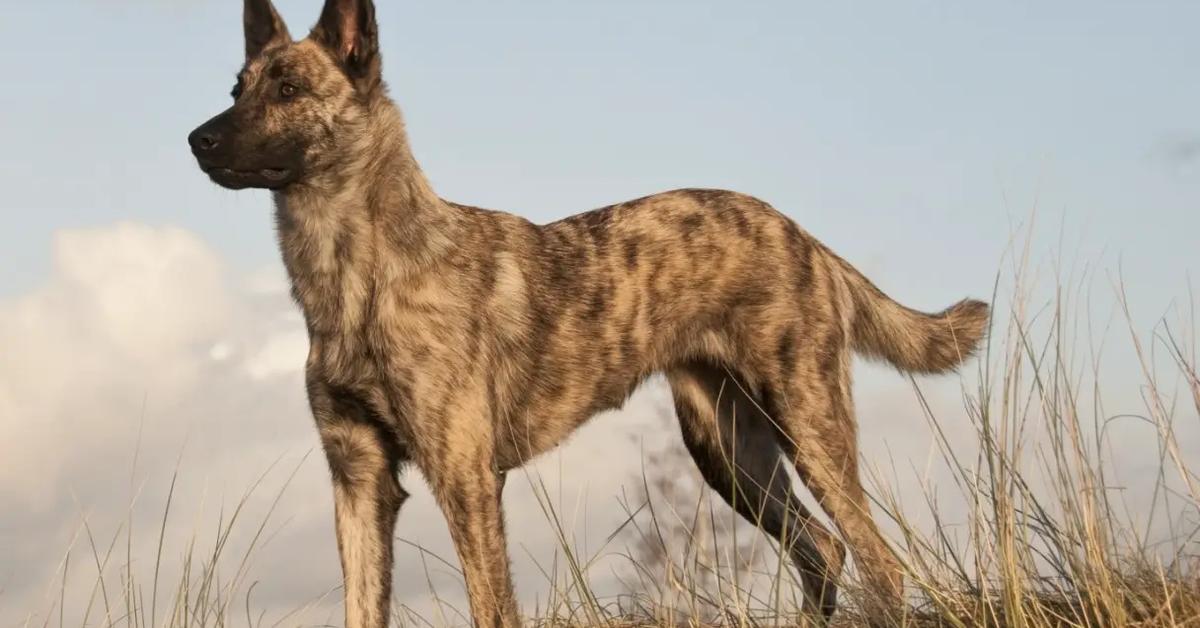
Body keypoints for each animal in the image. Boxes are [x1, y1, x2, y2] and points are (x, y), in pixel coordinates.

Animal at [187, 1, 988, 624]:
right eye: (236, 87)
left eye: (290, 88)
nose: (198, 139)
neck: (357, 276)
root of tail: (802, 234)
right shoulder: (358, 480)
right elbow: (362, 605)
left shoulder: (465, 478)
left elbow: (493, 607)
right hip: (731, 454)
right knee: (823, 549)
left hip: (807, 428)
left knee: (879, 561)